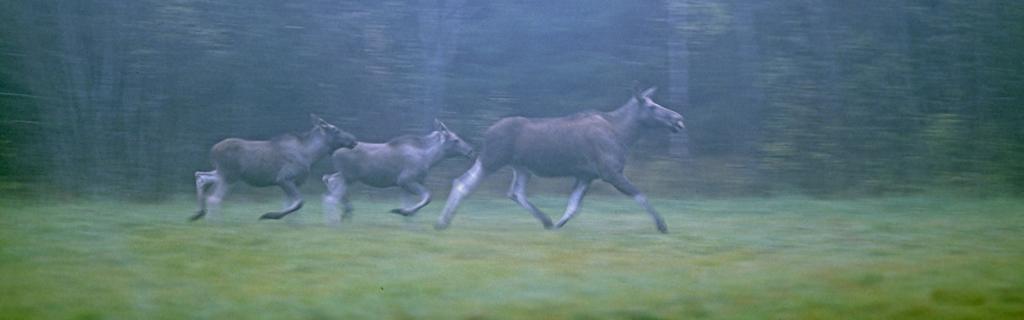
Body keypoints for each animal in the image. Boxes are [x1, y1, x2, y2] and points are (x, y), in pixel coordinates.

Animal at [193, 114, 358, 222]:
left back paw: (198, 214)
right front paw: (270, 215)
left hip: (222, 173)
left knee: (201, 177)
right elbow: (299, 203)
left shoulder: (292, 182)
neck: (311, 155)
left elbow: (291, 204)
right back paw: (214, 222)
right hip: (230, 175)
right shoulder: (284, 178)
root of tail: (212, 151)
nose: (354, 140)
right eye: (336, 130)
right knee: (214, 198)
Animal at [321, 119, 473, 224]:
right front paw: (402, 212)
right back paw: (336, 220)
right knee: (330, 195)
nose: (470, 151)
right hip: (348, 177)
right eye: (455, 140)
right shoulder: (406, 180)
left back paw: (345, 213)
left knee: (328, 179)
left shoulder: (405, 185)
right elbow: (427, 197)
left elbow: (411, 205)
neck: (430, 158)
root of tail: (333, 153)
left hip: (345, 176)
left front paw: (407, 217)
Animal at [434, 86, 684, 233]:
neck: (625, 134)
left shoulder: (586, 175)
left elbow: (573, 206)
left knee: (515, 192)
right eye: (651, 106)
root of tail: (486, 133)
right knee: (463, 183)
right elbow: (640, 194)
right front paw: (662, 224)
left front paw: (557, 224)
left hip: (521, 167)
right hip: (492, 160)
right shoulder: (610, 172)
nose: (678, 119)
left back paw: (545, 220)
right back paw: (442, 222)